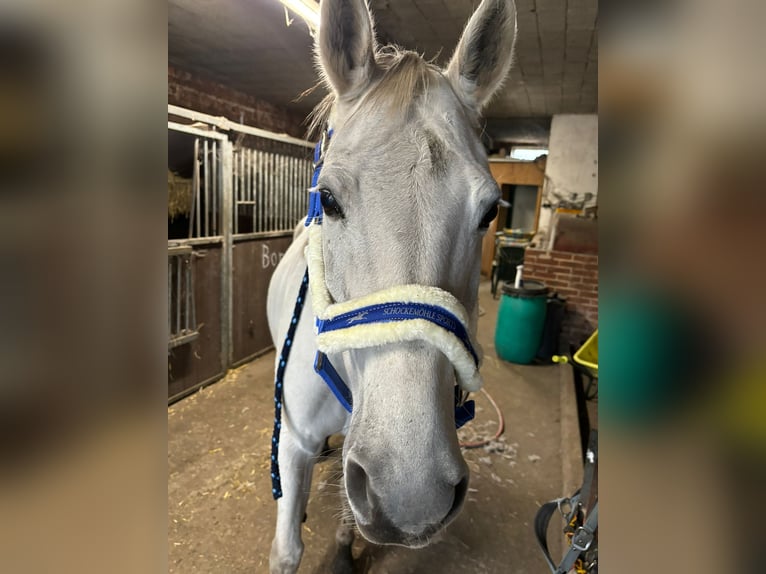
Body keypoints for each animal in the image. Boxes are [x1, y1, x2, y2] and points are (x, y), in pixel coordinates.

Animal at [268, 1, 520, 572]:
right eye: (328, 198)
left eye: (490, 212)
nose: (413, 493)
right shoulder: (291, 444)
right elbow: (287, 550)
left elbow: (348, 505)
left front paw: (343, 550)